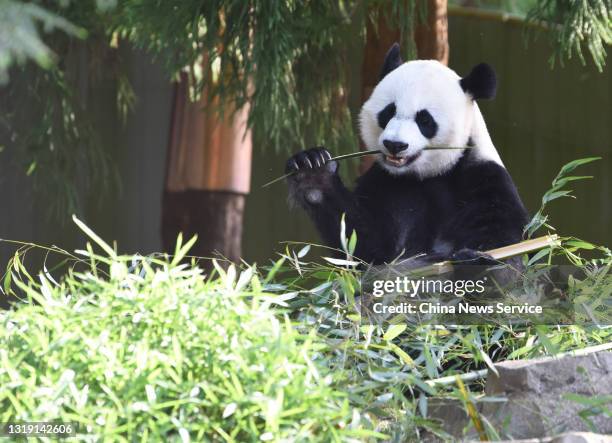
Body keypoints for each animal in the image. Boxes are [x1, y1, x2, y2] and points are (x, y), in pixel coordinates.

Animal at [284, 44, 528, 268]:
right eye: (388, 112)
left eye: (424, 120)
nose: (395, 145)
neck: (427, 174)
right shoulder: (387, 182)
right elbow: (365, 246)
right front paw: (312, 169)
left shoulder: (483, 176)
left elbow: (503, 242)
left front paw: (472, 258)